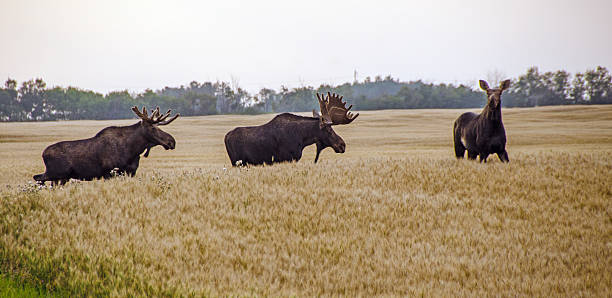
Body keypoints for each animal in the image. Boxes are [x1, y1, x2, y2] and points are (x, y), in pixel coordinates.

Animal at [33, 106, 178, 185]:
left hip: (61, 177)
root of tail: (43, 154)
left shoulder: (131, 172)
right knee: (37, 178)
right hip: (56, 173)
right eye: (153, 128)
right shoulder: (109, 172)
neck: (133, 150)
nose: (172, 141)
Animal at [225, 92, 358, 165]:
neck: (302, 138)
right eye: (329, 130)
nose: (342, 145)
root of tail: (226, 137)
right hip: (237, 162)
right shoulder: (286, 158)